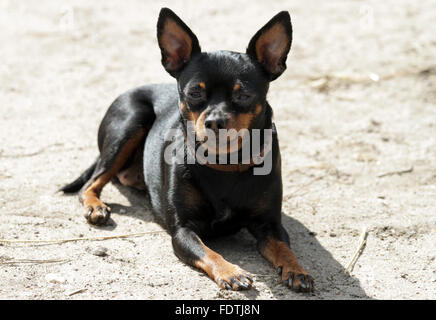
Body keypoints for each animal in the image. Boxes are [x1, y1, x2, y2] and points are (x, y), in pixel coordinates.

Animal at [60, 7, 314, 292]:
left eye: (243, 95)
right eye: (194, 93)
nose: (215, 121)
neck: (225, 163)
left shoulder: (270, 225)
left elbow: (284, 248)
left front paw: (297, 269)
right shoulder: (183, 230)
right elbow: (209, 252)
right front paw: (230, 271)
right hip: (130, 122)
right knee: (92, 181)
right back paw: (96, 206)